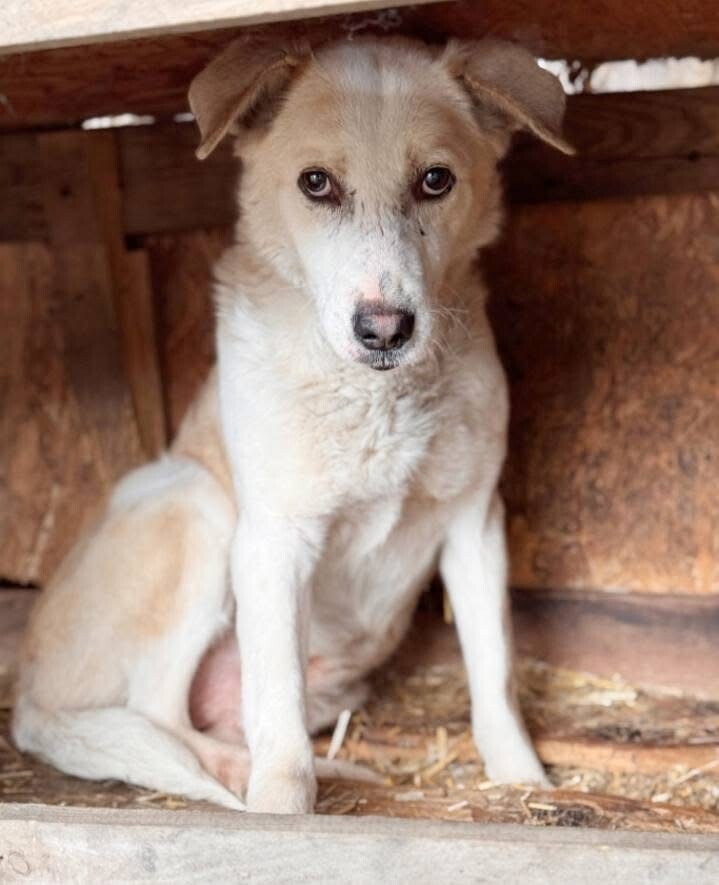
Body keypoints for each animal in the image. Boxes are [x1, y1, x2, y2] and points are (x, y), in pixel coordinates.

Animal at [13, 35, 572, 814]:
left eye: (436, 180)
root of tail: (26, 704)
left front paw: (521, 777)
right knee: (159, 714)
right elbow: (277, 708)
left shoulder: (474, 523)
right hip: (195, 503)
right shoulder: (275, 541)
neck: (378, 395)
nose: (384, 329)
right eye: (316, 184)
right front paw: (283, 813)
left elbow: (494, 669)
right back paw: (237, 776)